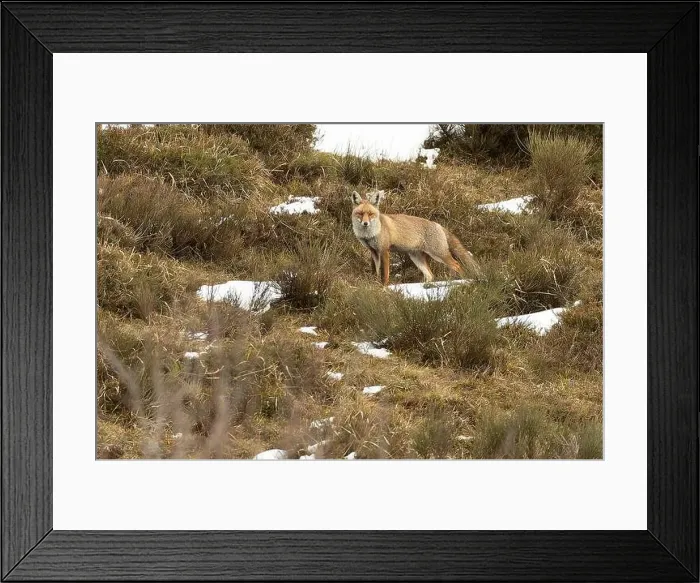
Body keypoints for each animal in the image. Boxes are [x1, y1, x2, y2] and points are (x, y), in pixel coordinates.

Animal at [351, 189, 482, 285]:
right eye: (360, 214)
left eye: (370, 214)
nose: (365, 223)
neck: (369, 235)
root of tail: (438, 225)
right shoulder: (374, 252)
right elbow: (376, 271)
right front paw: (375, 283)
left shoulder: (384, 250)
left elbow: (385, 273)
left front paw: (384, 286)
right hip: (416, 257)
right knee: (430, 275)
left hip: (438, 254)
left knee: (457, 265)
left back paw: (463, 281)